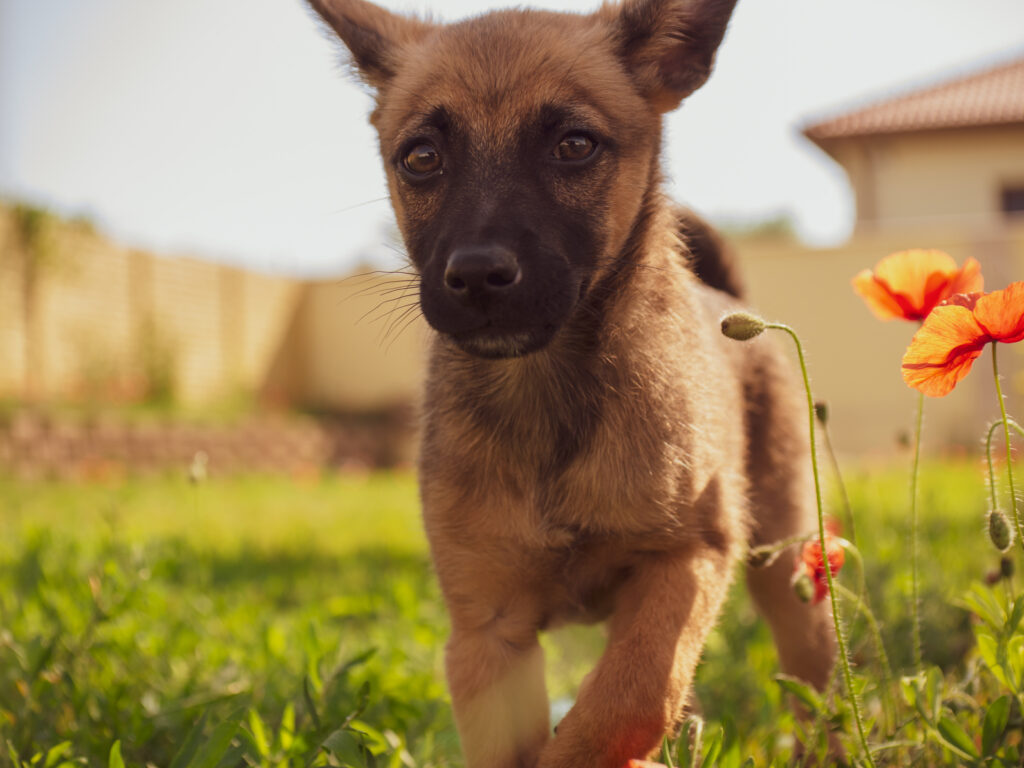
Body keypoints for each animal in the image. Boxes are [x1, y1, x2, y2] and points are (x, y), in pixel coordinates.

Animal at [307, 3, 835, 765]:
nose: (476, 275)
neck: (546, 394)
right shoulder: (488, 634)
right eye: (421, 158)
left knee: (813, 689)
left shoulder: (688, 559)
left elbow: (629, 699)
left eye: (575, 146)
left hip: (786, 566)